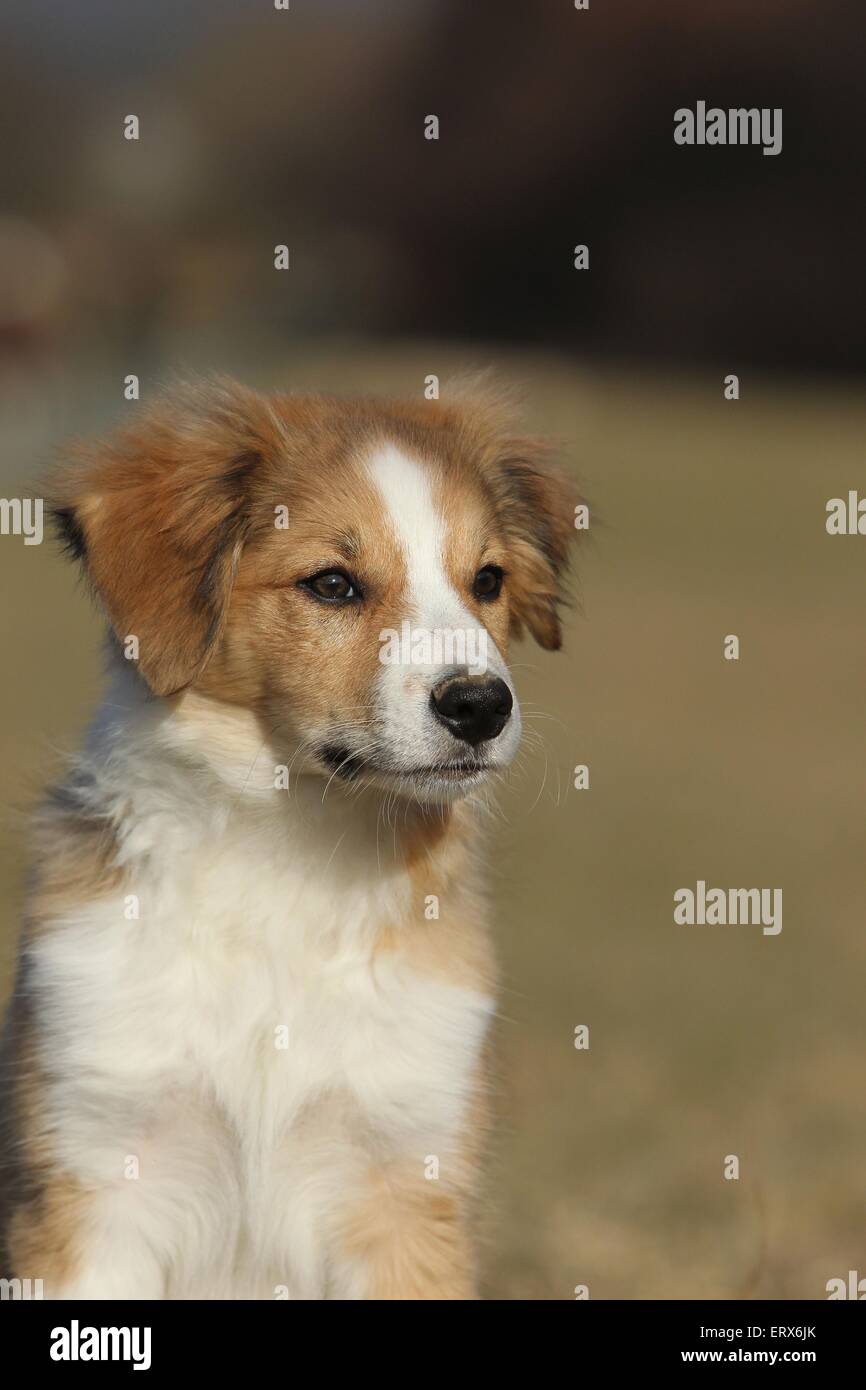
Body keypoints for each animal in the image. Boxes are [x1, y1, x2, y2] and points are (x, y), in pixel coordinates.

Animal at [3, 375, 578, 1295]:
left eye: (486, 580)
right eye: (333, 585)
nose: (481, 706)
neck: (294, 856)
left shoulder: (406, 1180)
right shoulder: (97, 1173)